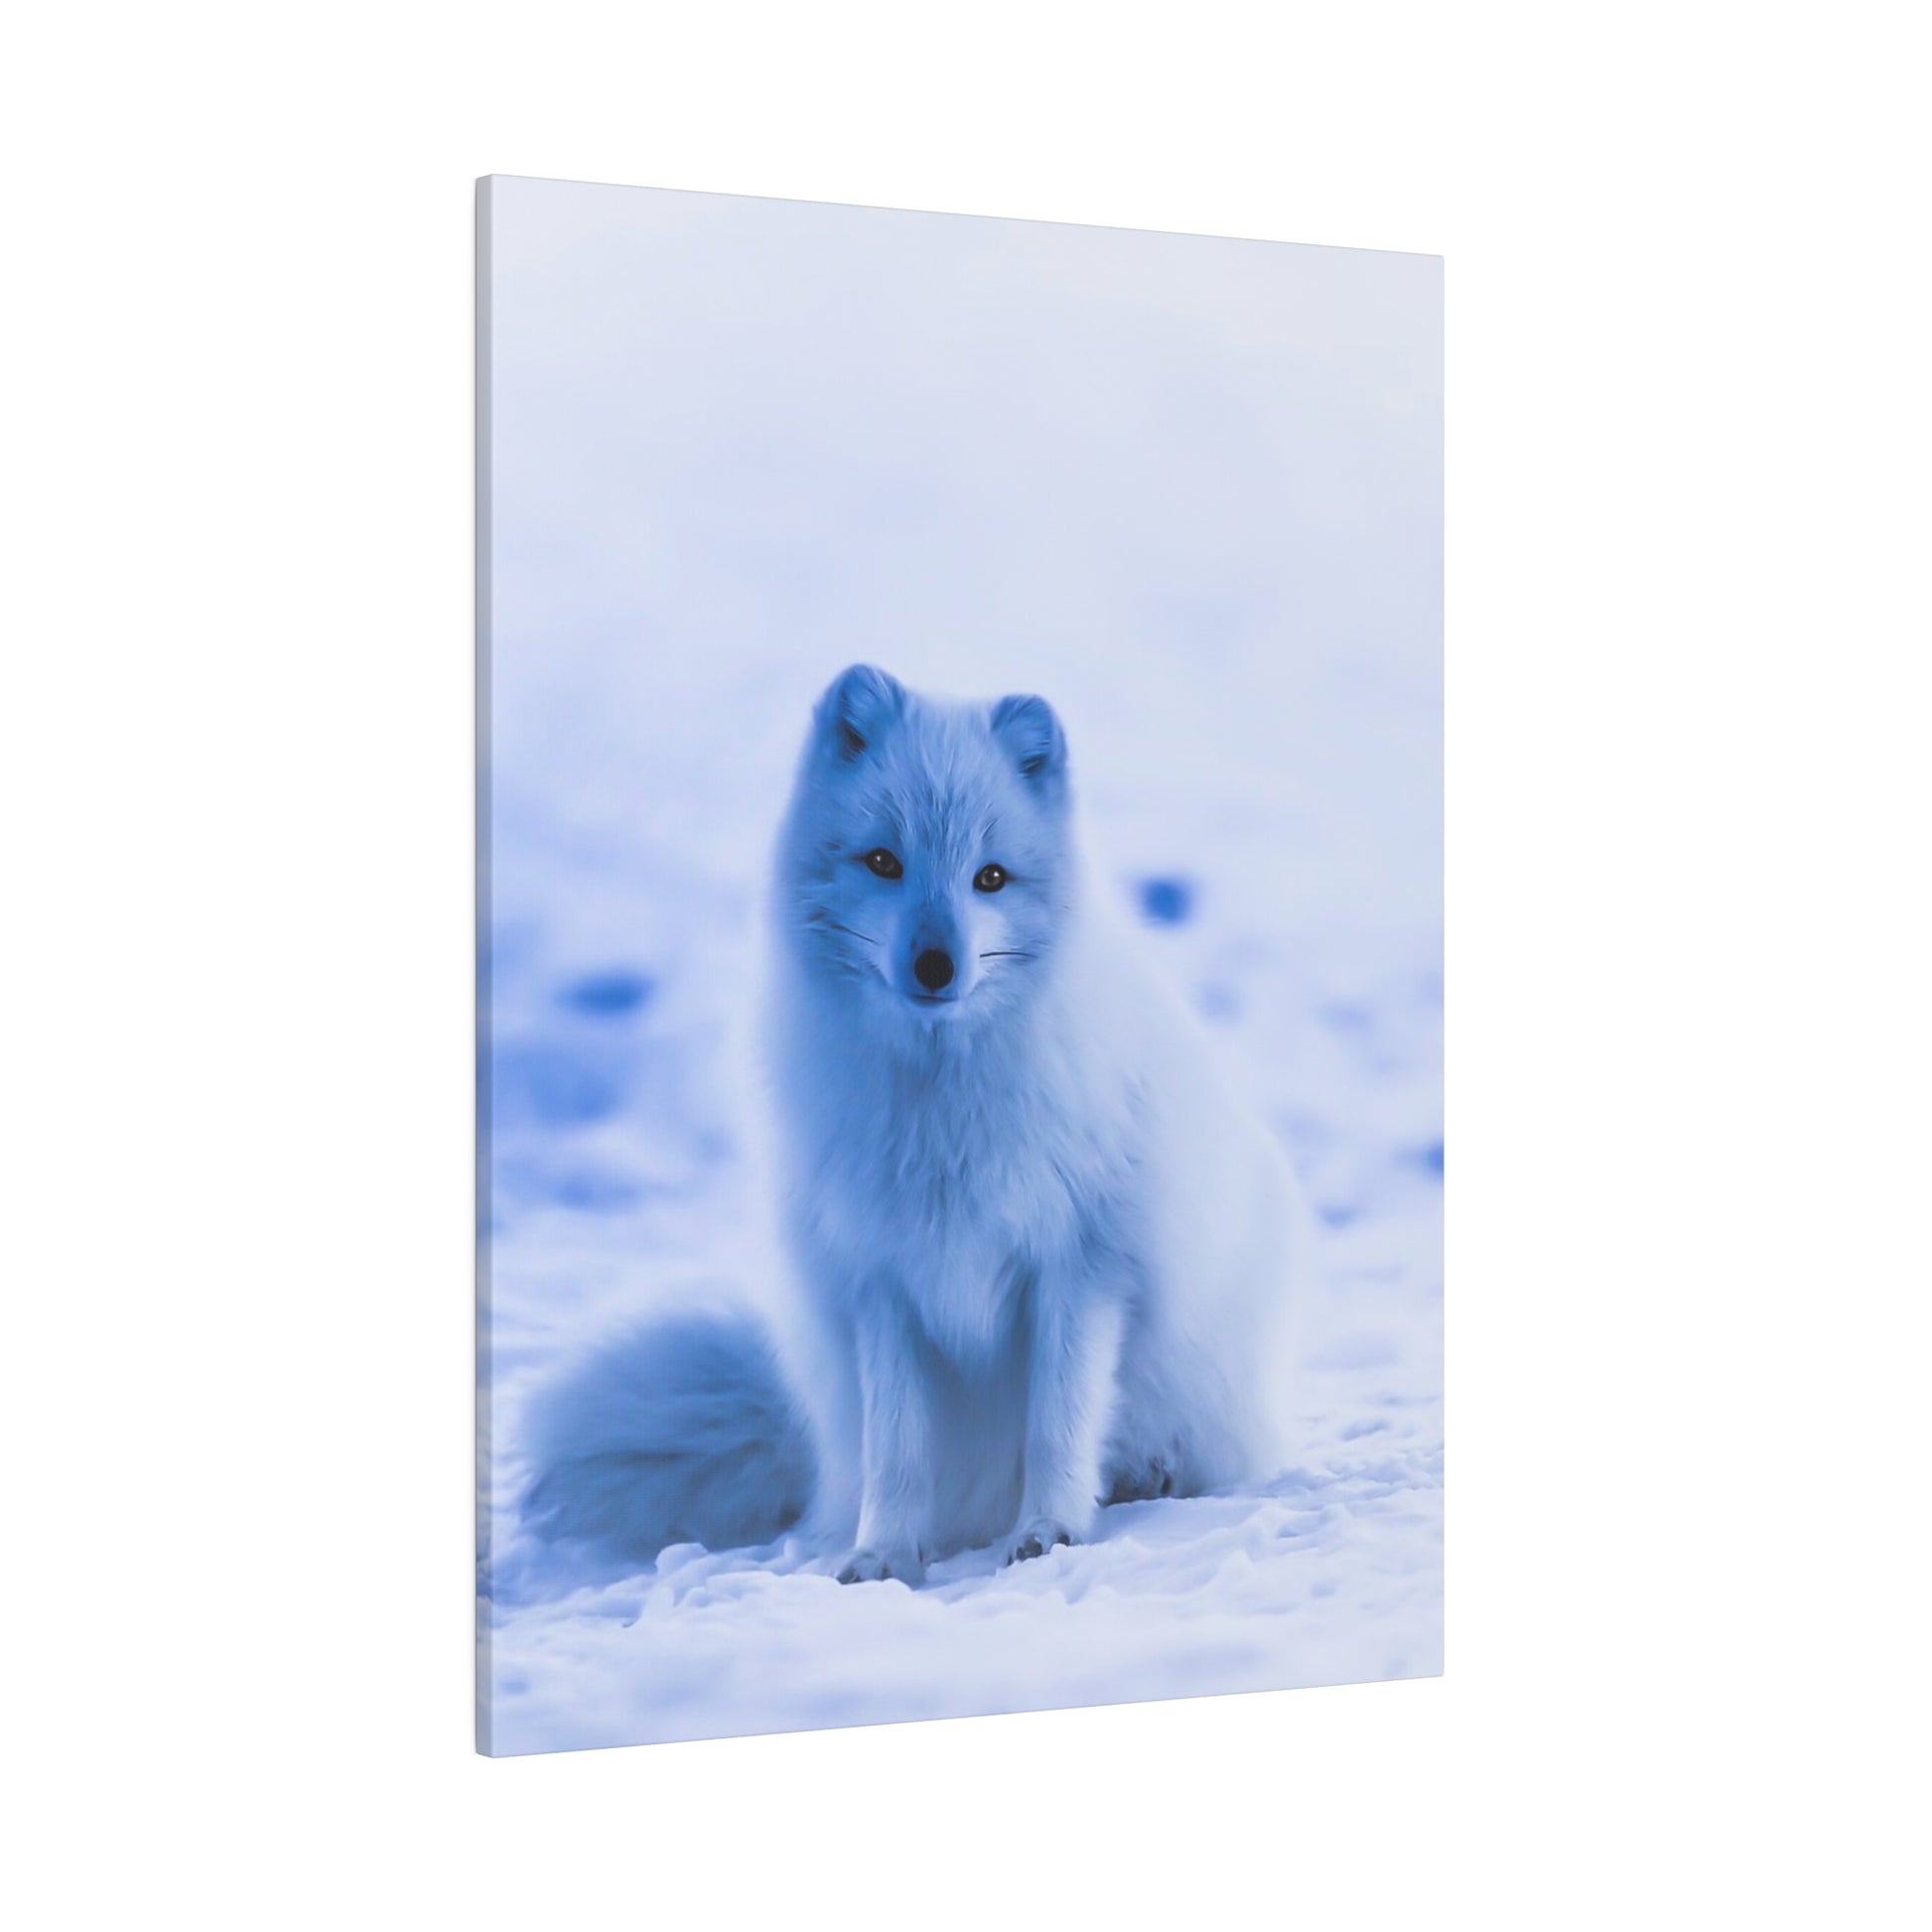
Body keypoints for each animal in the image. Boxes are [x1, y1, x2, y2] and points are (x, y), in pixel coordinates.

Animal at [517, 664, 1313, 1584]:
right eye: (883, 861)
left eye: (991, 878)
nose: (936, 963)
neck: (943, 1110)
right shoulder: (880, 1281)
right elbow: (898, 1449)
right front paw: (885, 1556)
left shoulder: (1081, 1268)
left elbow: (1058, 1424)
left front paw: (1049, 1532)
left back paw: (1147, 1478)